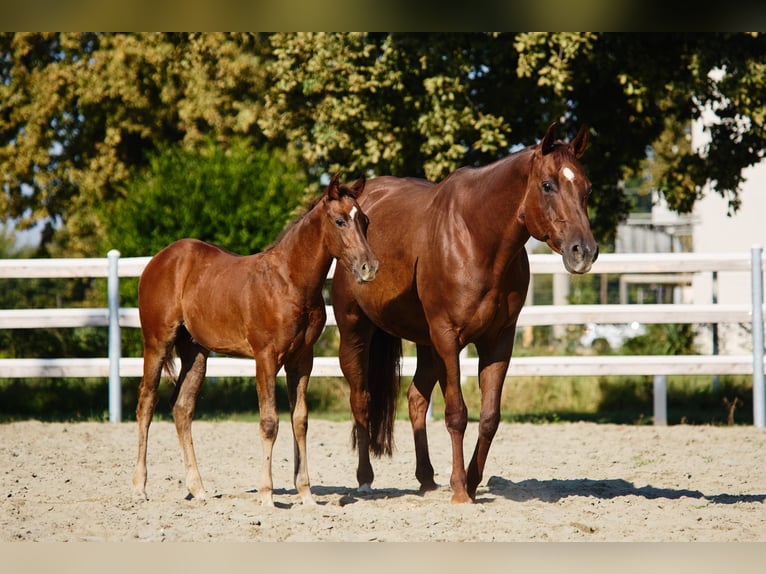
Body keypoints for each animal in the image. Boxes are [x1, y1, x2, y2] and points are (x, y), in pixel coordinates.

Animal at [131, 173, 378, 507]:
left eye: (364, 221)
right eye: (340, 221)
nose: (369, 267)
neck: (290, 282)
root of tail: (159, 260)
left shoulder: (303, 359)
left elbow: (300, 420)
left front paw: (306, 494)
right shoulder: (266, 358)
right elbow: (269, 421)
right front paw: (266, 494)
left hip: (195, 352)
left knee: (182, 407)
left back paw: (198, 488)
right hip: (157, 342)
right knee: (147, 402)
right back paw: (139, 487)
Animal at [330, 123, 598, 503]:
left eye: (587, 188)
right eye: (548, 185)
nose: (584, 251)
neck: (476, 236)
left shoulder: (498, 343)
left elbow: (489, 417)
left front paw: (471, 481)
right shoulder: (448, 338)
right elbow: (457, 413)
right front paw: (460, 489)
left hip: (425, 344)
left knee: (415, 399)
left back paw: (426, 479)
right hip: (356, 332)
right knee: (361, 400)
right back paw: (365, 479)